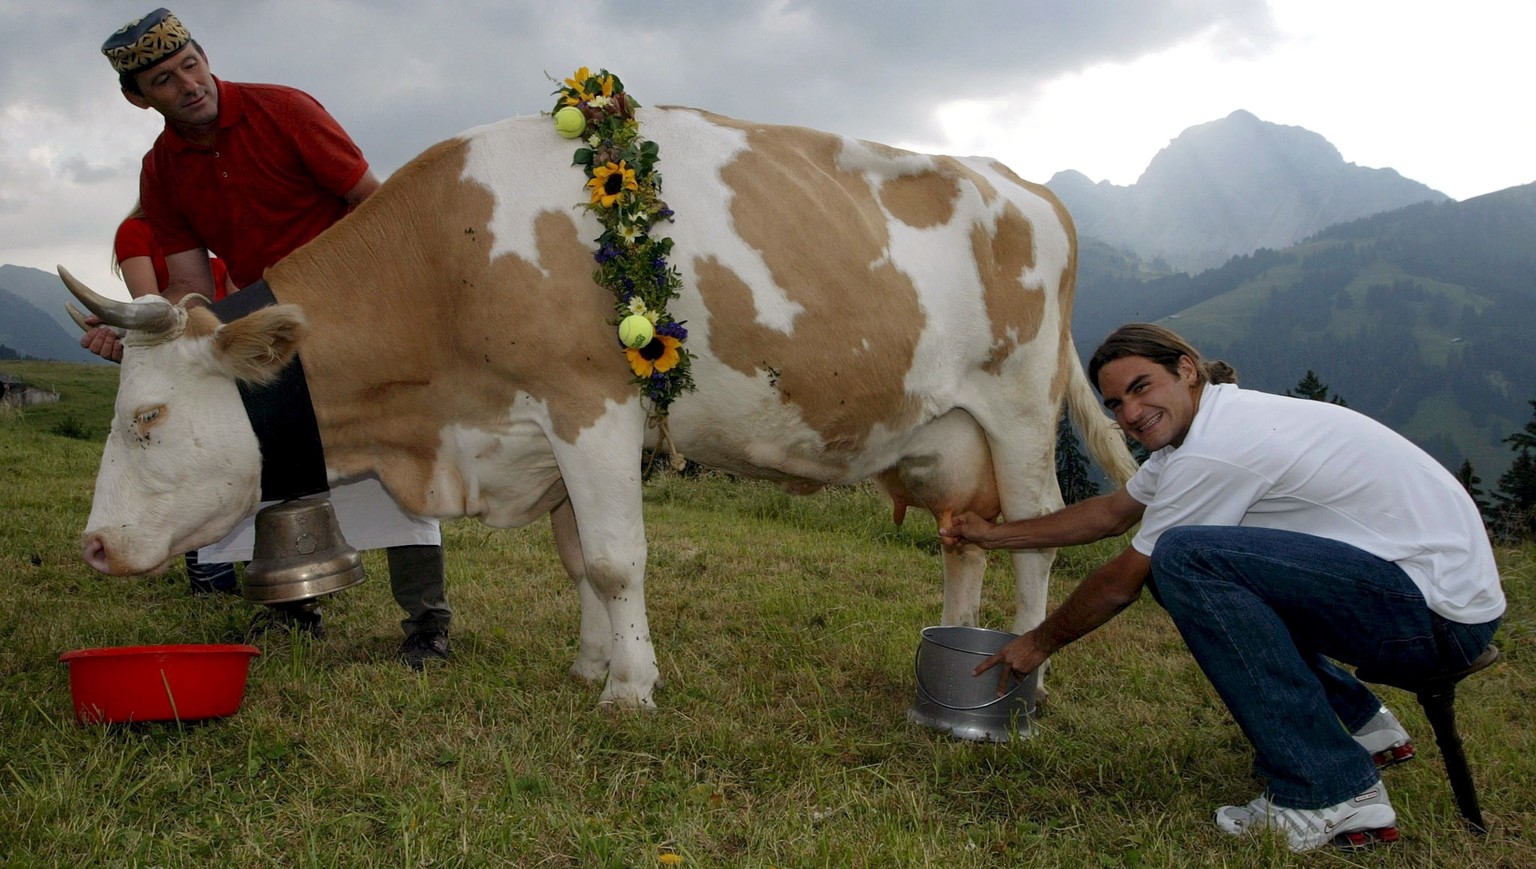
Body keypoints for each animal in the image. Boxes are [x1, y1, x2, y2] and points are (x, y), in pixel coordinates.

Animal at [62, 107, 1142, 709]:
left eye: (147, 418)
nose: (95, 546)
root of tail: (1025, 184)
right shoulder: (542, 434)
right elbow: (581, 557)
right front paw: (590, 666)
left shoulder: (593, 408)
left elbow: (619, 559)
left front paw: (630, 689)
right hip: (945, 434)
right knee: (966, 541)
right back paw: (955, 651)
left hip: (1019, 412)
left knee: (1036, 541)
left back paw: (1028, 680)